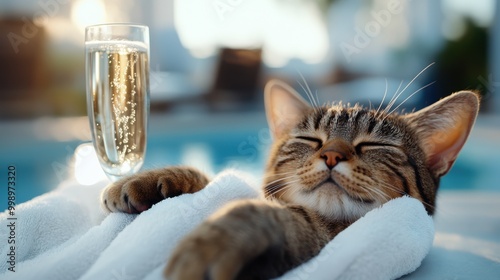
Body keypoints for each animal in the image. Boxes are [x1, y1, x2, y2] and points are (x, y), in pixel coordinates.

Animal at [99, 79, 478, 280]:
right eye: (310, 140)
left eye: (375, 145)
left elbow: (254, 213)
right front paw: (150, 179)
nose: (332, 155)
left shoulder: (316, 236)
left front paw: (207, 246)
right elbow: (213, 180)